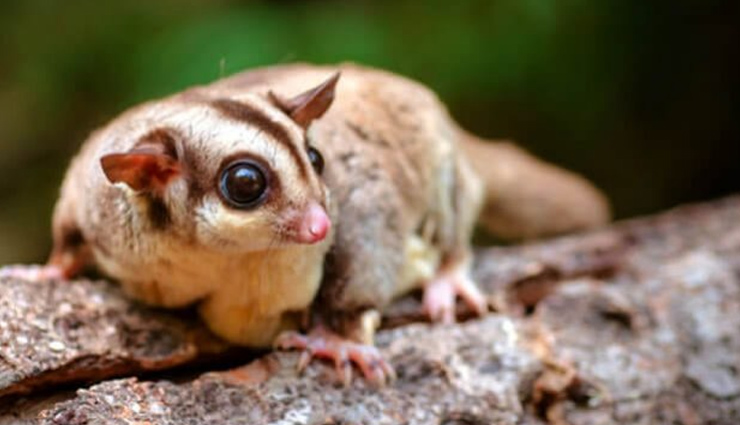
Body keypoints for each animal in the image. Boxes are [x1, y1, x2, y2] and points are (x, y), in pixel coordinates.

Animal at [1, 63, 609, 385]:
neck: (205, 256)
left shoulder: (357, 204)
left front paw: (335, 341)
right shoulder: (88, 193)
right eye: (246, 183)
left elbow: (363, 249)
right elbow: (67, 238)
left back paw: (447, 276)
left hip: (444, 160)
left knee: (454, 211)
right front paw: (46, 274)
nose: (320, 224)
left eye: (317, 160)